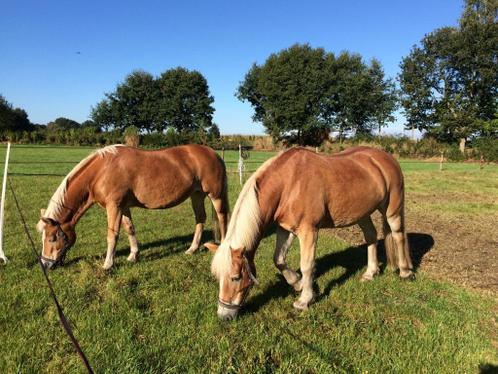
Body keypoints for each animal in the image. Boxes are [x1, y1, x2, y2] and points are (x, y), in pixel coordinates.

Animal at [37, 143, 230, 268]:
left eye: (52, 238)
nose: (45, 264)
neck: (102, 171)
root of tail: (213, 154)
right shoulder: (123, 207)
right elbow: (129, 229)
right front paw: (133, 255)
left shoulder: (114, 206)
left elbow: (112, 235)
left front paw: (108, 264)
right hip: (196, 195)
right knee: (200, 218)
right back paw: (191, 249)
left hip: (216, 195)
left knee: (222, 218)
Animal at [208, 148, 414, 320]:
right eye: (217, 277)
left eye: (235, 277)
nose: (224, 315)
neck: (288, 183)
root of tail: (386, 158)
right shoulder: (285, 229)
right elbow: (279, 259)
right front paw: (297, 283)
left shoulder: (309, 232)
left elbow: (307, 265)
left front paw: (304, 299)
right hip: (362, 214)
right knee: (371, 236)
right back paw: (370, 273)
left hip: (392, 209)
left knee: (398, 235)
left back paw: (405, 272)